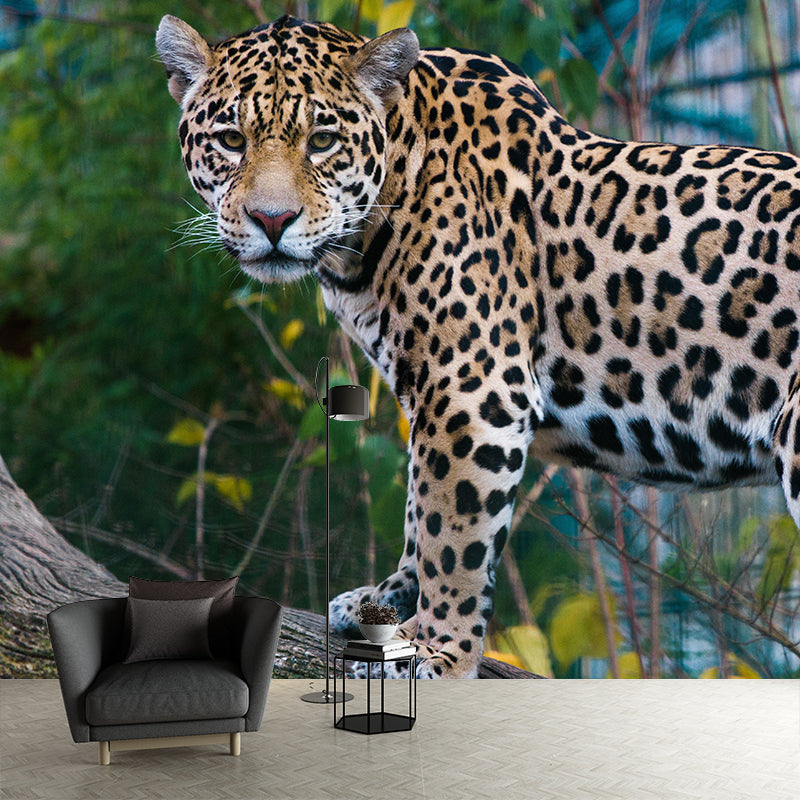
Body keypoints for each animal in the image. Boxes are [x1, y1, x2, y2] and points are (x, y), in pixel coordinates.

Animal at [156, 14, 800, 678]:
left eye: (323, 141)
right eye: (231, 140)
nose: (272, 220)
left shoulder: (471, 390)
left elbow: (452, 529)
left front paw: (435, 650)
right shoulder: (427, 393)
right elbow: (420, 511)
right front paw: (387, 601)